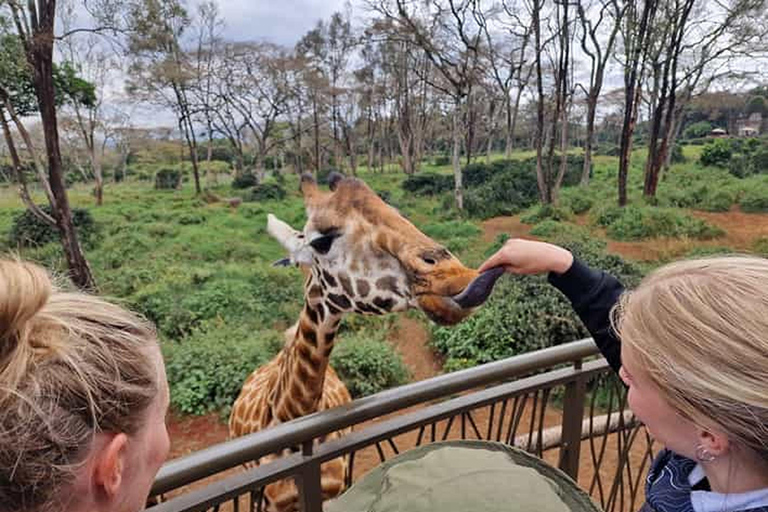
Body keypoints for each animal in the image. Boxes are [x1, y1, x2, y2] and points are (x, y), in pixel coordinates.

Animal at [231, 173, 500, 512]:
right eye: (321, 241)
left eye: (397, 213)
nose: (458, 275)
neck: (291, 413)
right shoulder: (273, 503)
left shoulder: (334, 490)